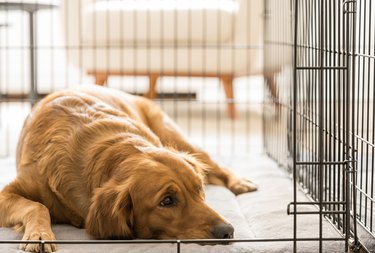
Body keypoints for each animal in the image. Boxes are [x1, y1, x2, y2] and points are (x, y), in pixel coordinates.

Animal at [0, 85, 258, 251]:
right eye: (167, 201)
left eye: (199, 189)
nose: (227, 231)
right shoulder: (6, 194)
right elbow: (37, 206)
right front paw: (39, 235)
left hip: (176, 137)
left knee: (216, 165)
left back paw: (240, 182)